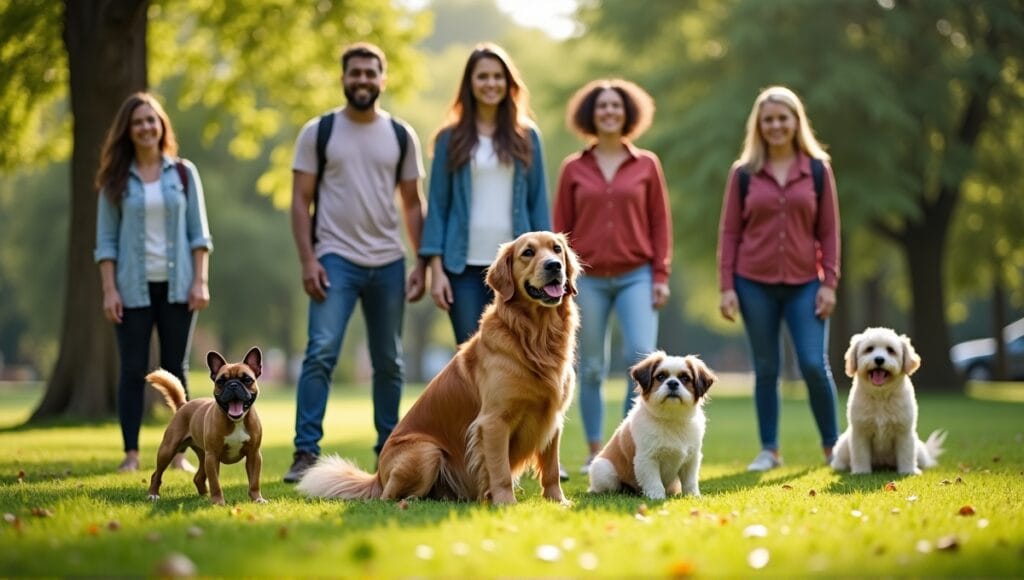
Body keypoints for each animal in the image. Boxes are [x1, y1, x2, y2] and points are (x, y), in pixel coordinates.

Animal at [589, 352, 716, 502]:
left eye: (685, 378)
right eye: (660, 377)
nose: (673, 383)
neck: (671, 419)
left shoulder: (691, 459)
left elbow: (690, 482)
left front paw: (693, 496)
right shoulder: (647, 459)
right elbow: (654, 482)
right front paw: (656, 497)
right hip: (604, 470)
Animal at [831, 329, 942, 475]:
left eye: (890, 350)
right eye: (869, 349)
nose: (879, 359)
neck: (881, 397)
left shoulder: (904, 431)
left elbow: (906, 453)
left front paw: (908, 471)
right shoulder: (860, 431)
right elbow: (860, 454)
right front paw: (861, 472)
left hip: (920, 451)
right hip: (844, 444)